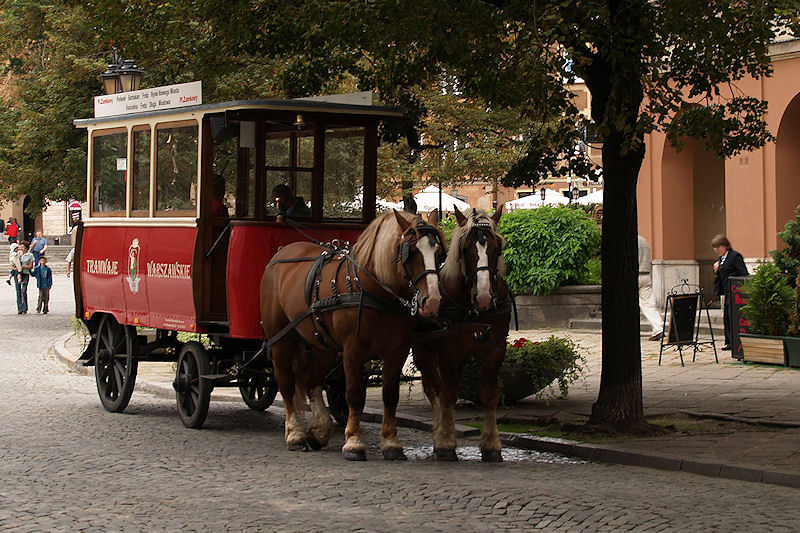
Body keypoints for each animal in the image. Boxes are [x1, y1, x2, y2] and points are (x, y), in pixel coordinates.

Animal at [260, 210, 444, 460]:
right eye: (412, 251)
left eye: (440, 253)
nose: (432, 301)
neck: (372, 287)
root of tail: (280, 254)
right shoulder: (353, 350)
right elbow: (354, 394)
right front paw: (354, 442)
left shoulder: (397, 350)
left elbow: (390, 394)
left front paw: (391, 443)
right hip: (281, 339)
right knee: (287, 382)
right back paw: (295, 434)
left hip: (321, 343)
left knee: (312, 380)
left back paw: (318, 430)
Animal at [416, 206, 510, 460]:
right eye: (465, 249)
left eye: (497, 247)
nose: (484, 296)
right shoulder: (449, 350)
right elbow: (448, 393)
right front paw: (446, 442)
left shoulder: (496, 350)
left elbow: (489, 394)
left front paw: (491, 444)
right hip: (424, 350)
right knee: (434, 390)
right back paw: (439, 432)